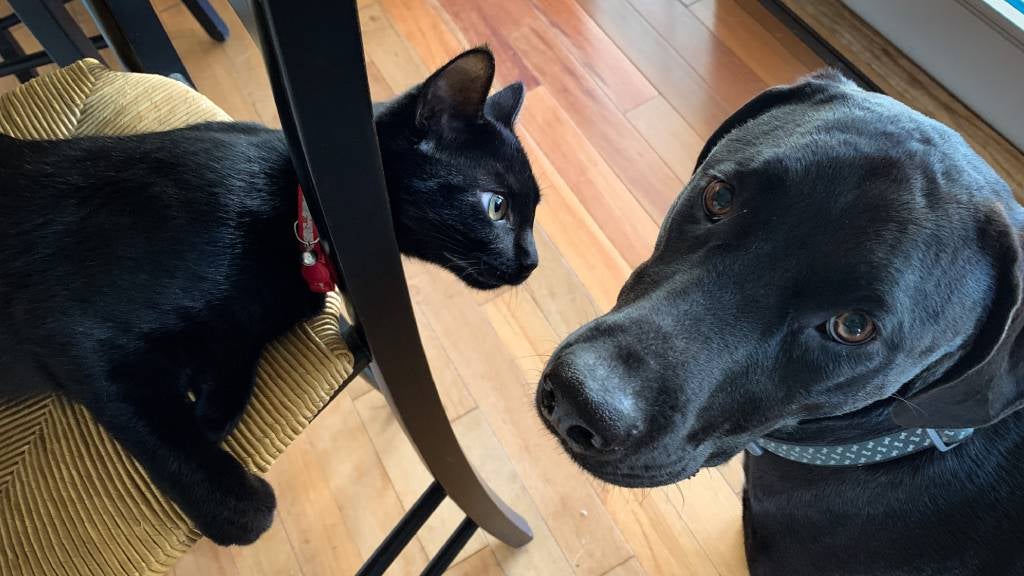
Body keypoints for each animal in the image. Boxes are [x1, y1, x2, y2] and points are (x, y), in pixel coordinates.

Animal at [0, 48, 544, 541]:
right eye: (497, 206)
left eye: (535, 211)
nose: (533, 261)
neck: (298, 217)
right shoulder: (74, 333)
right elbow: (161, 432)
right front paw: (236, 508)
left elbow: (234, 350)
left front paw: (212, 407)